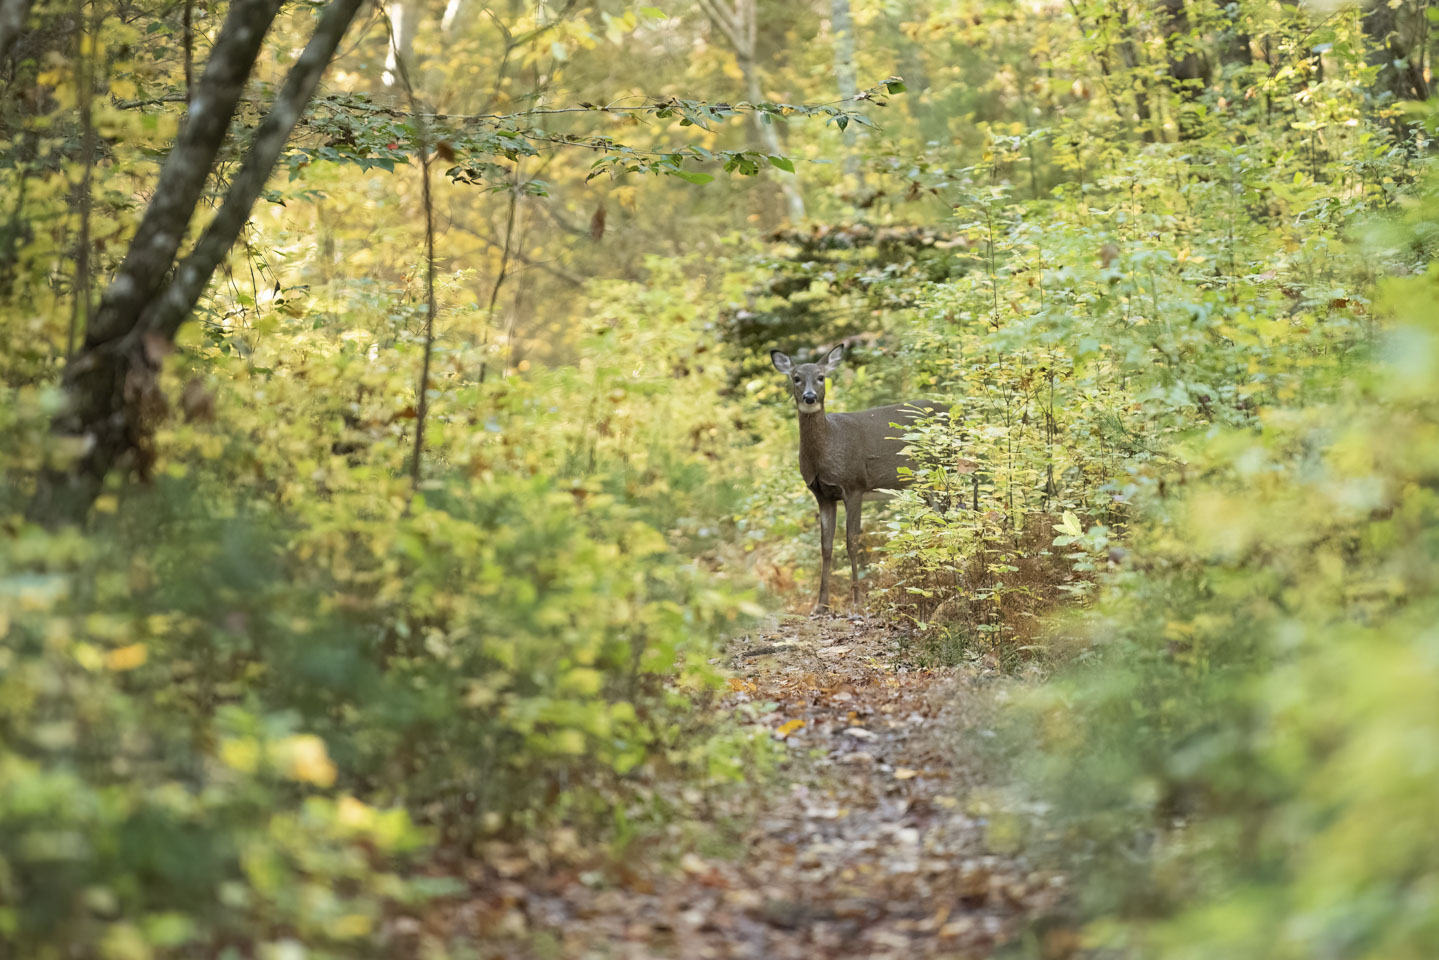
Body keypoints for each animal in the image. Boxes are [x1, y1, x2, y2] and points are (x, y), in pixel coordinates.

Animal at [772, 344, 930, 614]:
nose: (810, 397)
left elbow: (852, 542)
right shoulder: (822, 495)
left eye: (821, 376)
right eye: (796, 378)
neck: (828, 446)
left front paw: (857, 601)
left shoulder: (854, 485)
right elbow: (826, 547)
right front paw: (820, 604)